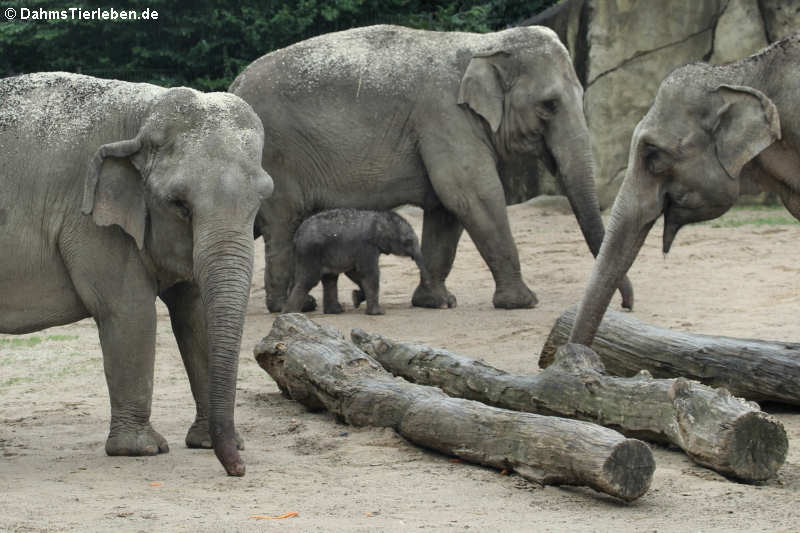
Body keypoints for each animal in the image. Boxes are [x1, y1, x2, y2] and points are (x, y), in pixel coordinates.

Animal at [0, 72, 276, 476]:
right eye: (179, 205)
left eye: (262, 199)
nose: (238, 469)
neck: (143, 115)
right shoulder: (91, 222)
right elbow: (130, 311)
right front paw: (142, 449)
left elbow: (196, 315)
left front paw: (205, 443)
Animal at [284, 209, 428, 316]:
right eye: (408, 241)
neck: (379, 216)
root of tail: (296, 236)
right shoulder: (366, 246)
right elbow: (369, 273)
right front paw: (378, 313)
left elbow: (354, 273)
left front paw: (355, 298)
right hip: (310, 252)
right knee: (308, 280)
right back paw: (293, 314)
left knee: (328, 279)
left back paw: (334, 312)